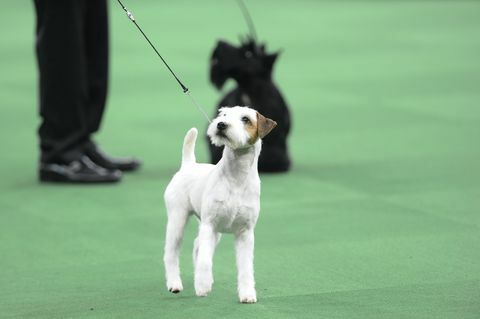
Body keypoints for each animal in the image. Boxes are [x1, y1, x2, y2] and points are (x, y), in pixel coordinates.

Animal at [165, 106, 278, 304]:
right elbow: (204, 260)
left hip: (211, 229)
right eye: (223, 114)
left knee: (197, 245)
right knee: (171, 253)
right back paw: (175, 284)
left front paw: (247, 294)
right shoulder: (209, 224)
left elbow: (246, 267)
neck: (236, 178)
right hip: (178, 219)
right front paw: (202, 287)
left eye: (246, 119)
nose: (221, 124)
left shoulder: (245, 233)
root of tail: (188, 165)